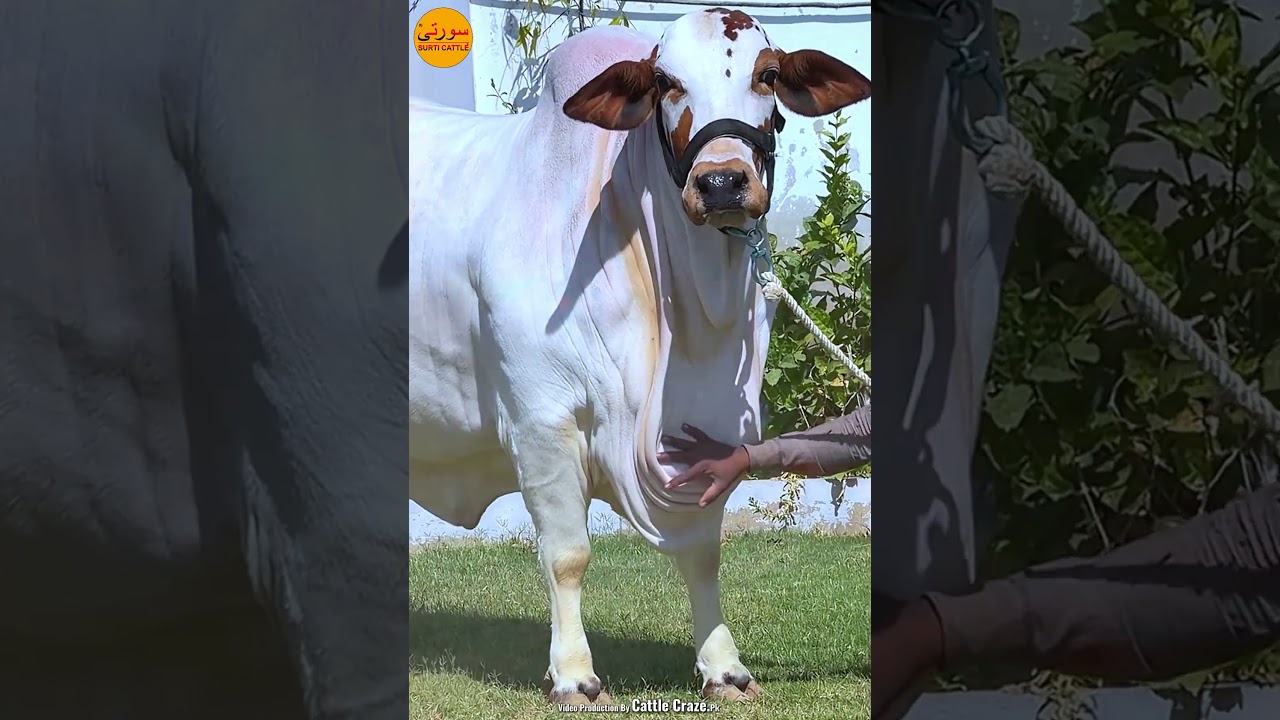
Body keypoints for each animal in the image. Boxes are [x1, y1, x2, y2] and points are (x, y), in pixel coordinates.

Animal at [409, 9, 870, 706]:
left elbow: (703, 551)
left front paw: (724, 667)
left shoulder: (708, 433)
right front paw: (574, 675)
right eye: (665, 82)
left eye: (767, 73)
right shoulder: (540, 423)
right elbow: (567, 555)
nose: (722, 182)